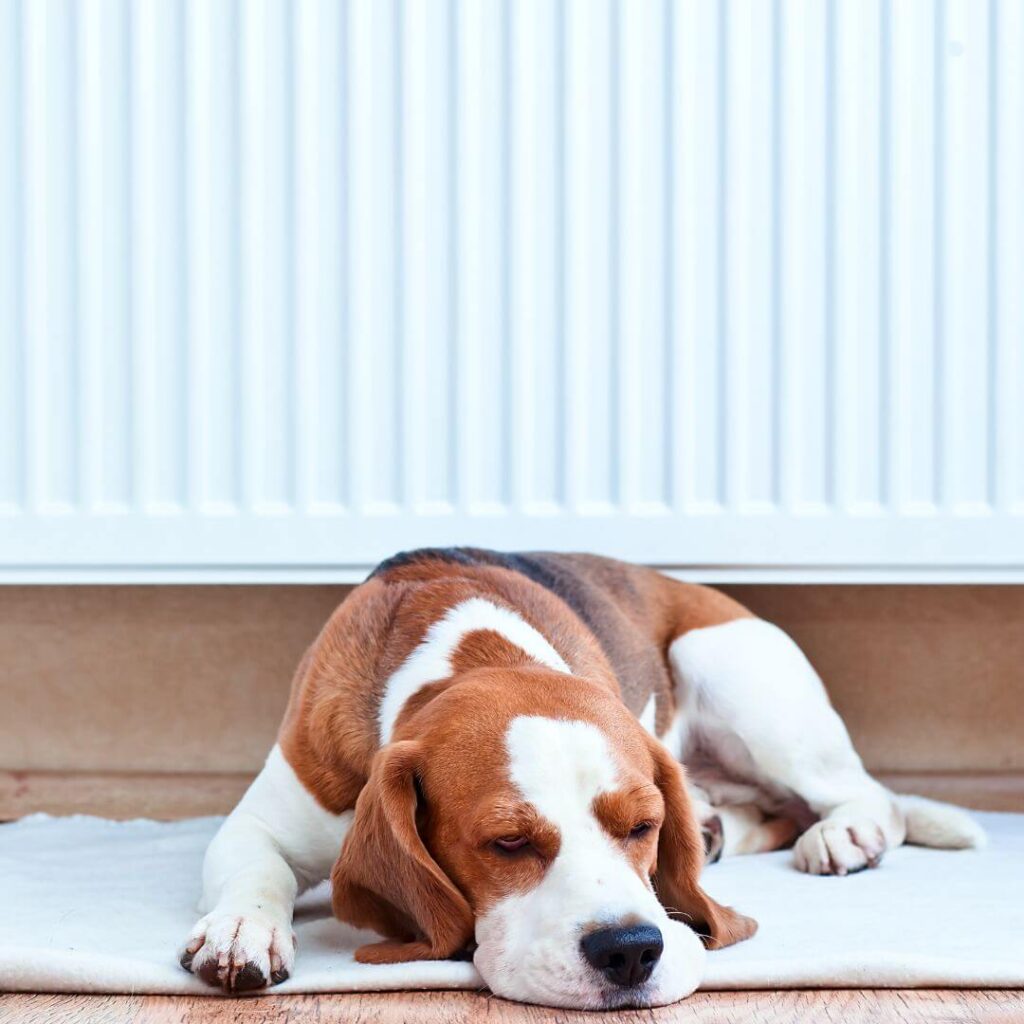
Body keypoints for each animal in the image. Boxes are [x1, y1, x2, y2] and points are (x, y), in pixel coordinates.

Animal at [182, 548, 983, 1003]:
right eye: (506, 843)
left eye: (644, 827)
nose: (630, 951)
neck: (475, 652)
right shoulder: (259, 820)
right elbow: (258, 870)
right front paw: (243, 931)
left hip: (739, 677)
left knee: (869, 796)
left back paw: (844, 834)